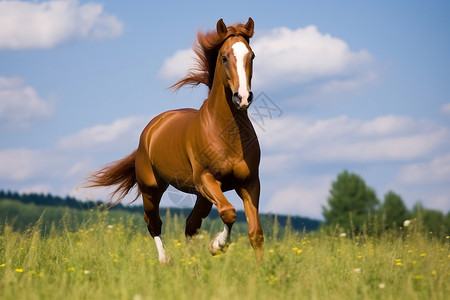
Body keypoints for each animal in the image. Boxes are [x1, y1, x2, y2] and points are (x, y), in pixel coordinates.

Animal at [87, 18, 264, 262]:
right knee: (154, 223)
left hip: (201, 195)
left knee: (191, 225)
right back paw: (165, 261)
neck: (228, 135)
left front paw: (261, 267)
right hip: (152, 189)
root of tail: (151, 129)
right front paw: (217, 245)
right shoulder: (206, 179)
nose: (243, 98)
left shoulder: (250, 183)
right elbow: (228, 213)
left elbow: (255, 232)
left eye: (252, 55)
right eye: (224, 57)